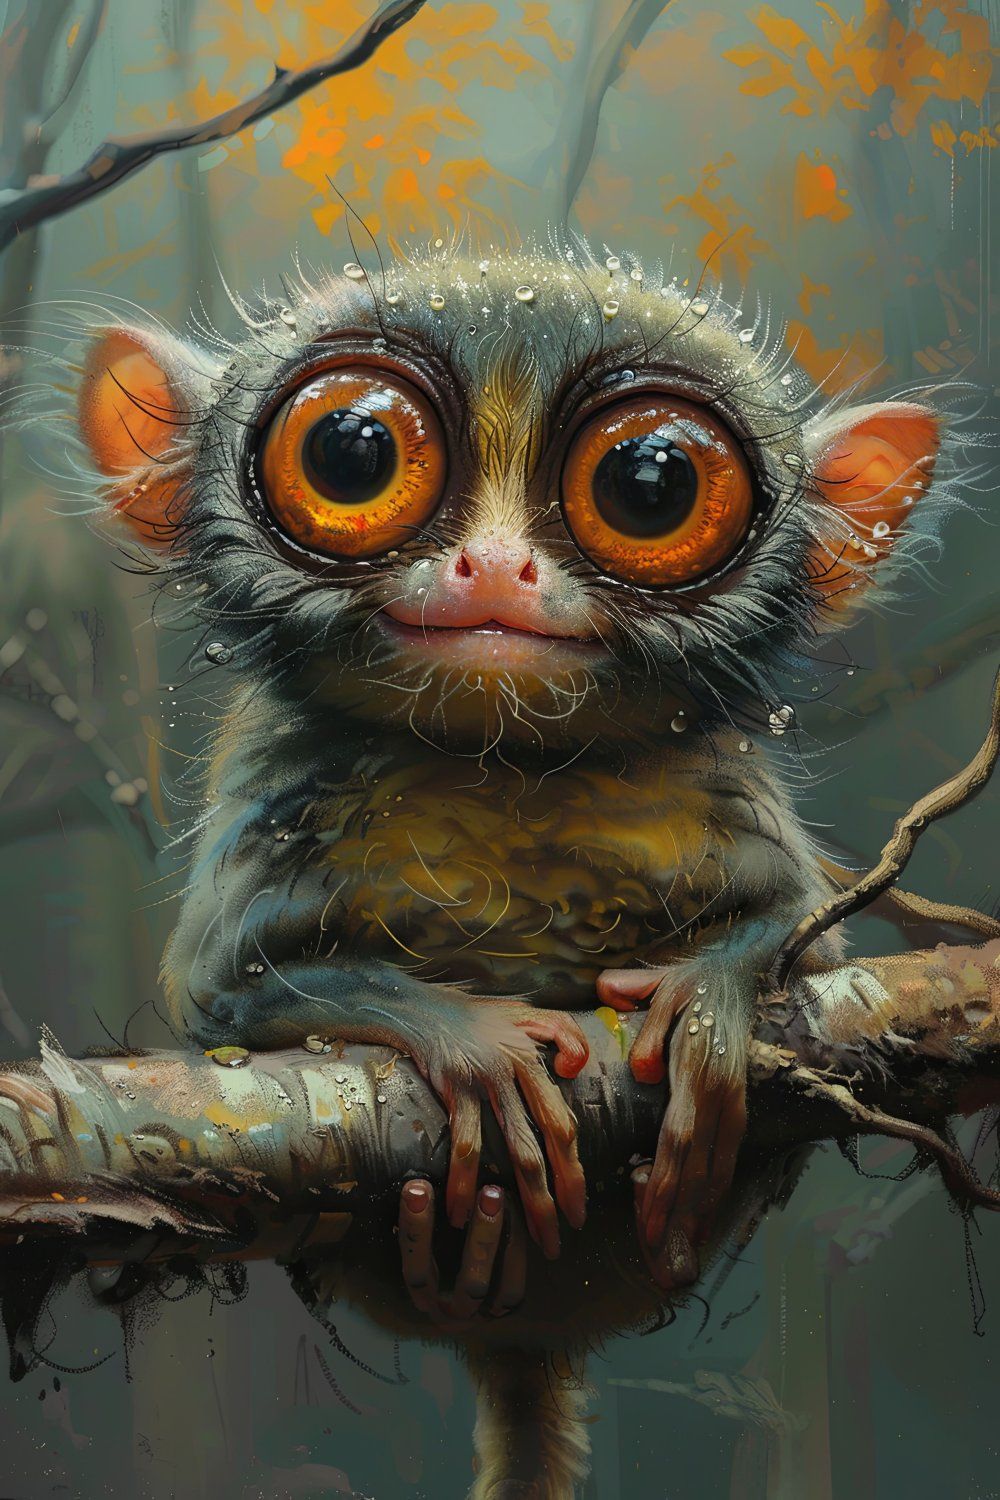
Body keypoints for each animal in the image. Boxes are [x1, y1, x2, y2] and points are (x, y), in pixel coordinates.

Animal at [69, 239, 944, 1496]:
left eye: (649, 485)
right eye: (352, 452)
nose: (492, 565)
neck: (506, 766)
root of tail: (528, 1339)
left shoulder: (727, 796)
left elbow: (807, 945)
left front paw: (706, 1003)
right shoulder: (270, 803)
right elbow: (221, 1000)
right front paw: (472, 1051)